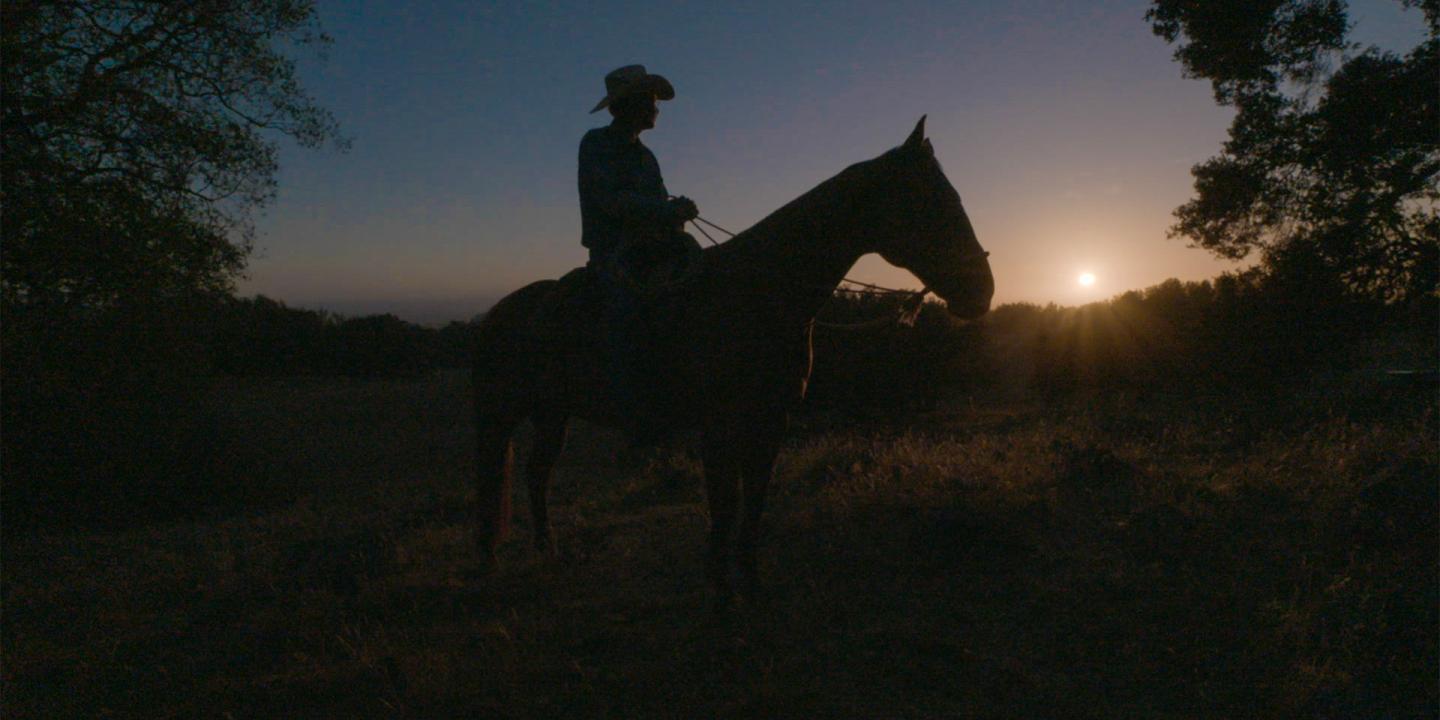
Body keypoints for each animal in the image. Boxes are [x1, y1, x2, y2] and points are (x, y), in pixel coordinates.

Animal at [472, 118, 990, 601]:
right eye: (933, 202)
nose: (983, 291)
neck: (758, 294)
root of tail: (497, 312)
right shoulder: (719, 425)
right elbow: (724, 504)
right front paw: (721, 590)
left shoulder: (771, 420)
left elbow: (754, 502)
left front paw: (751, 582)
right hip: (501, 413)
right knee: (491, 478)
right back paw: (489, 562)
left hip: (552, 413)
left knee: (537, 473)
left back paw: (548, 552)